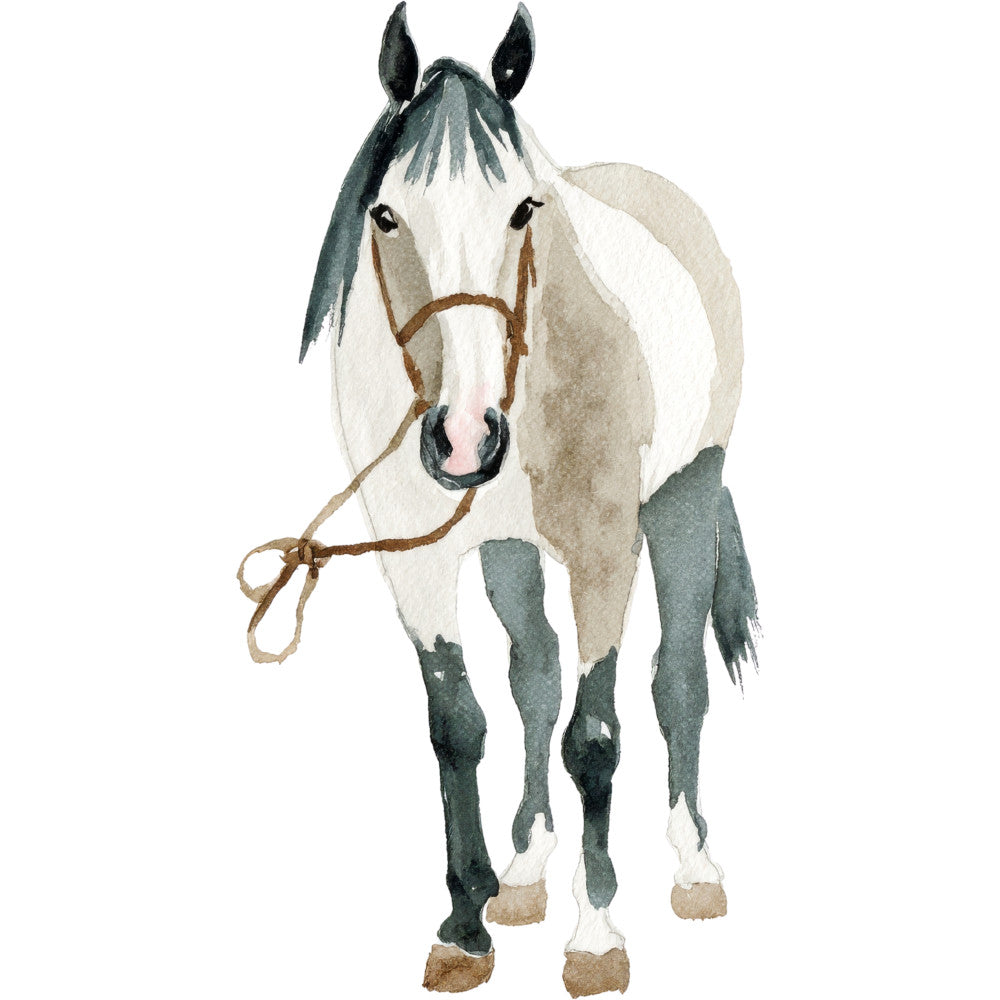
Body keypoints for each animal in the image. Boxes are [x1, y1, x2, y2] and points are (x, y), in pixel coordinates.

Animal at [263, 3, 758, 995]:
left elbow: (594, 736)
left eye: (525, 207)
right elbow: (460, 724)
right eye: (384, 213)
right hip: (508, 553)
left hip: (685, 498)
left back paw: (693, 868)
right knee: (534, 680)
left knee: (677, 682)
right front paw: (466, 924)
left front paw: (597, 936)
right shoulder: (418, 563)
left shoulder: (606, 550)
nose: (463, 436)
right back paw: (526, 873)